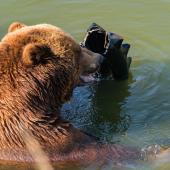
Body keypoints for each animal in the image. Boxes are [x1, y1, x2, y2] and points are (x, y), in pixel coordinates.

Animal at [0, 21, 167, 166]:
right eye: (77, 51)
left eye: (78, 47)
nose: (100, 57)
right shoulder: (45, 141)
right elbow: (107, 150)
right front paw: (159, 151)